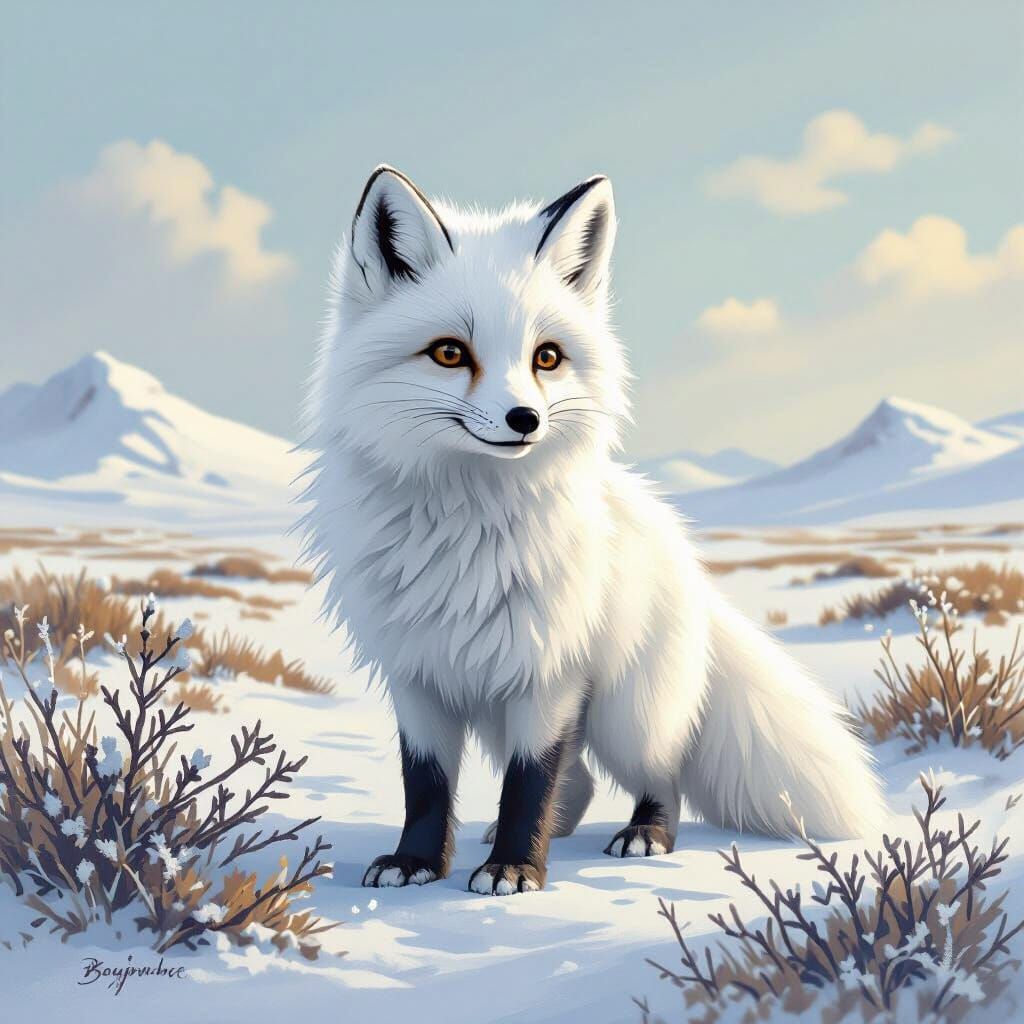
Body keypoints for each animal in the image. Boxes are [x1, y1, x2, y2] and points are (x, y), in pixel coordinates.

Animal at [299, 166, 884, 895]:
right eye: (449, 353)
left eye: (546, 357)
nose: (525, 419)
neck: (465, 531)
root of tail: (689, 564)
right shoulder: (418, 675)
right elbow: (426, 785)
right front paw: (417, 863)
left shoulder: (547, 669)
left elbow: (529, 782)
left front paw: (515, 871)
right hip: (504, 713)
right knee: (576, 782)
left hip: (624, 717)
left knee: (658, 773)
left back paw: (645, 835)